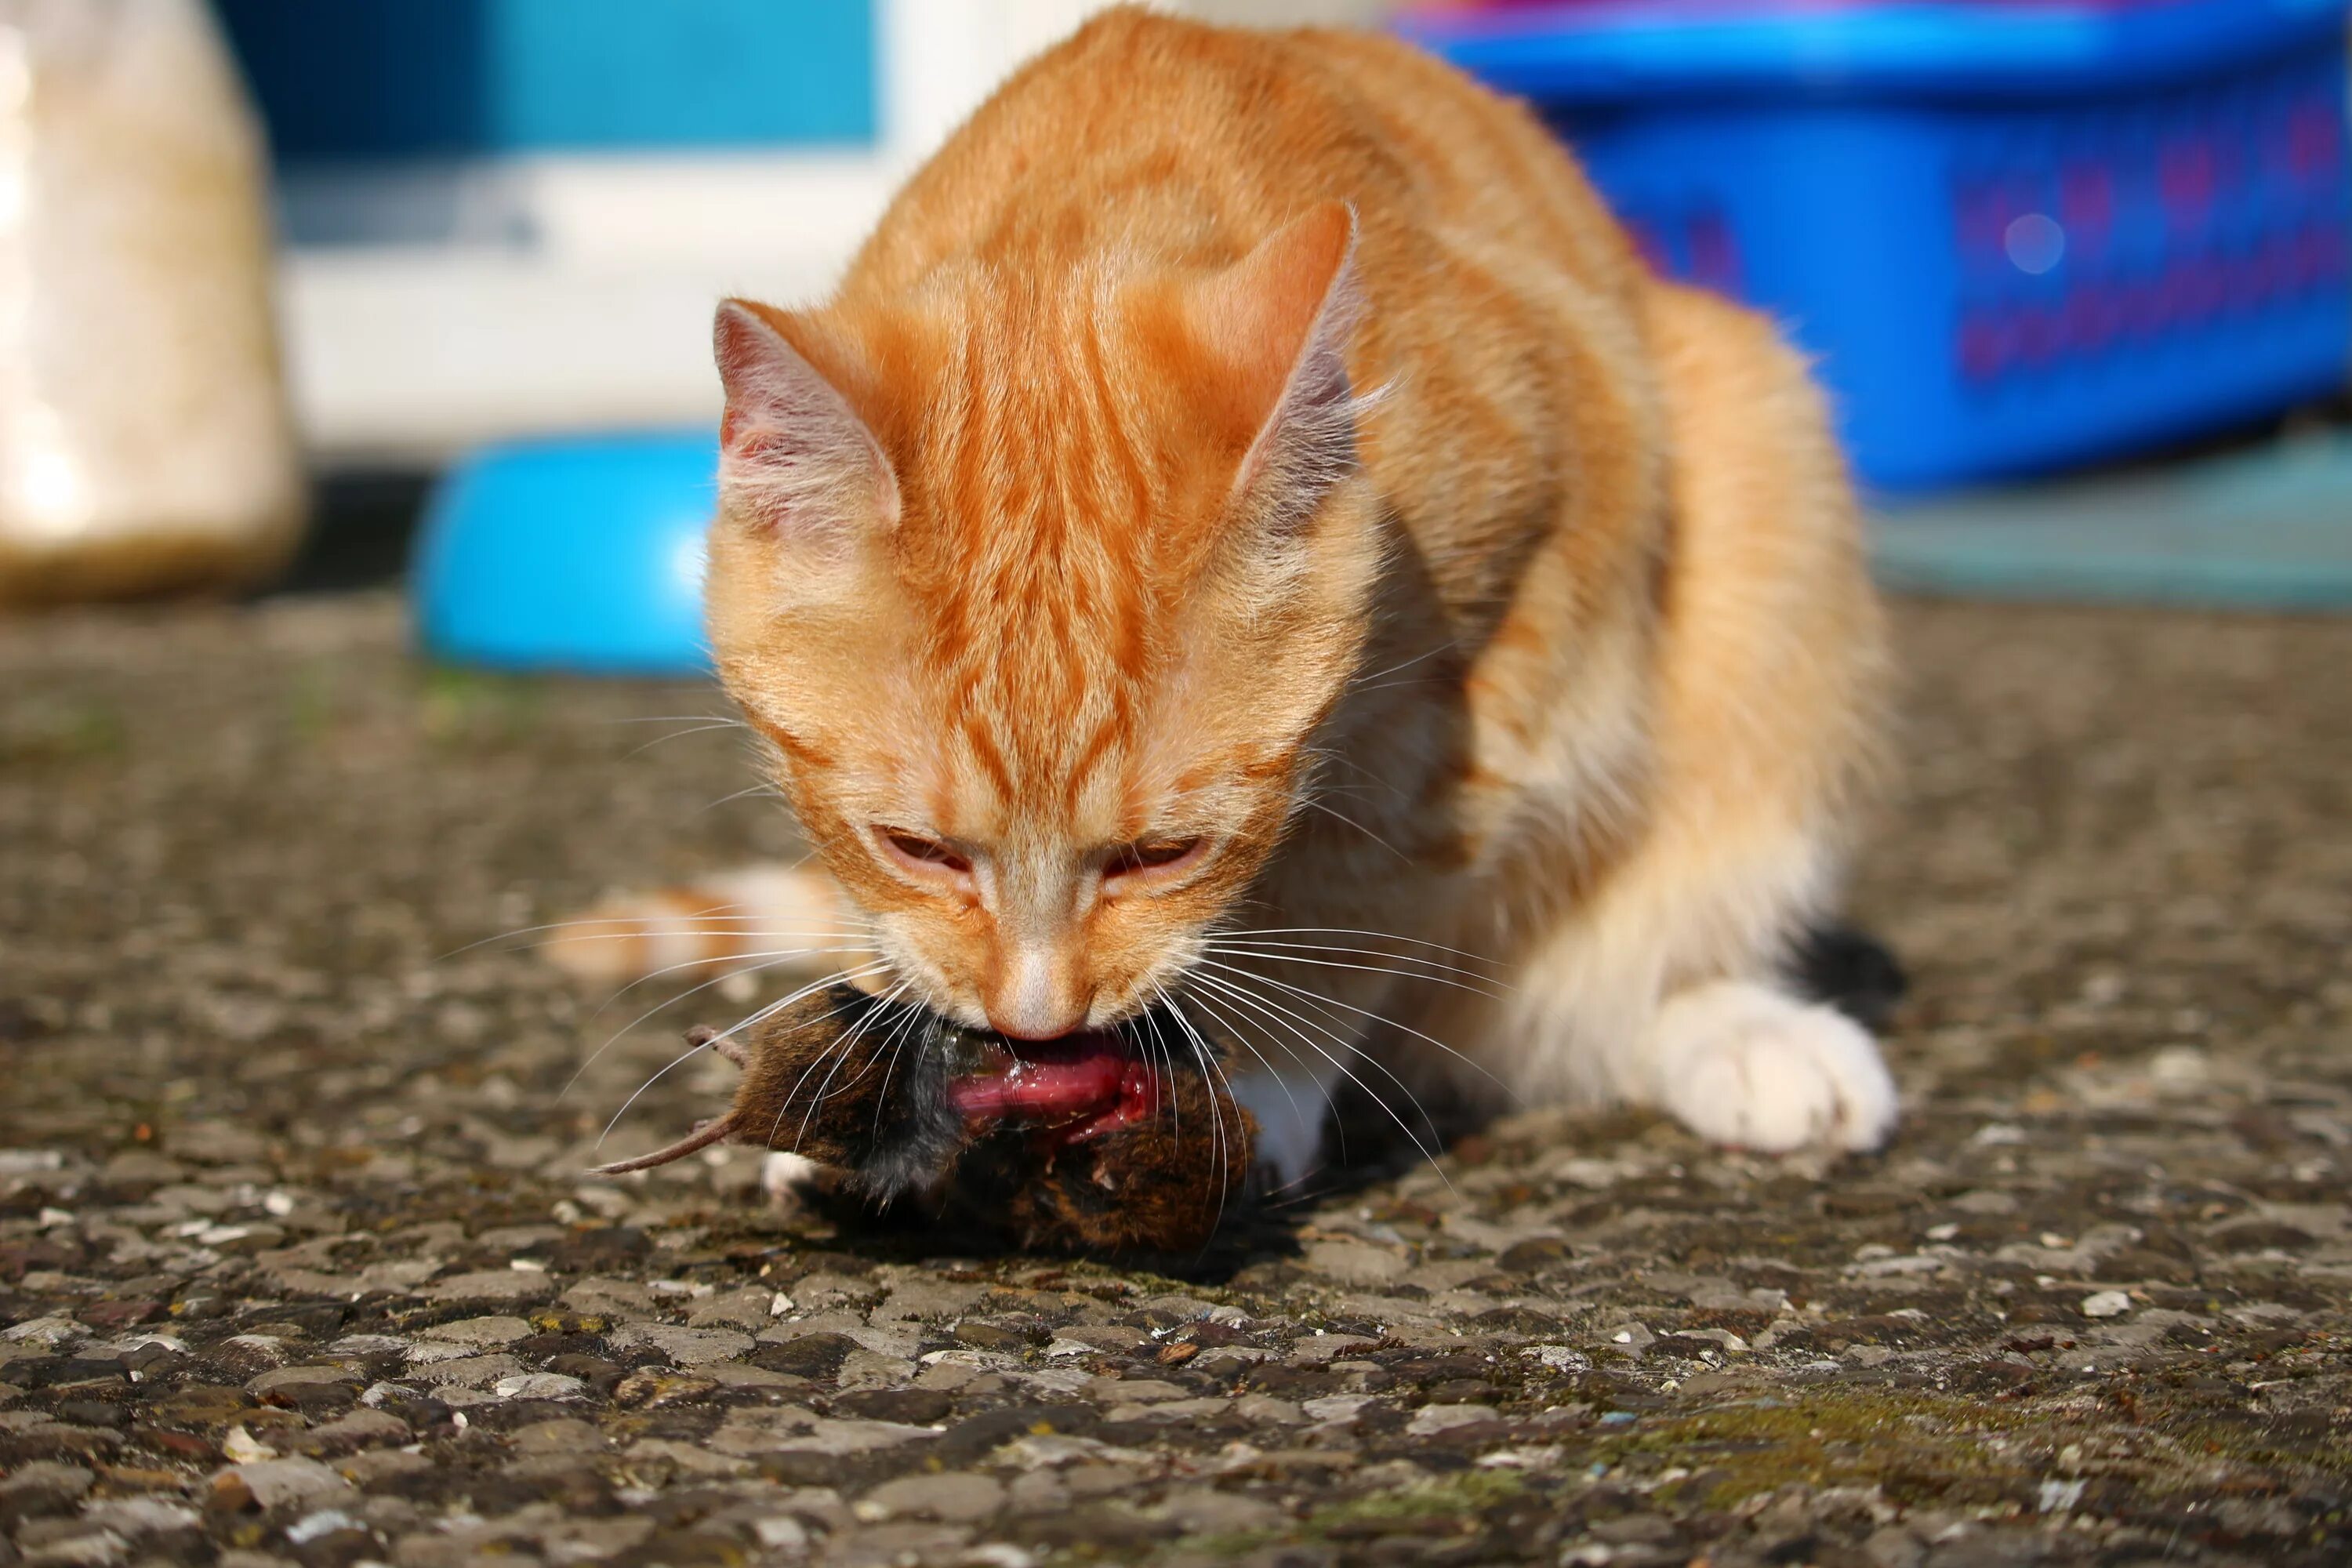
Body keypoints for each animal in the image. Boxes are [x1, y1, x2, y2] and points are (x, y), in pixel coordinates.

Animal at [560, 9, 1900, 1189]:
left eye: (1163, 855)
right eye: (917, 848)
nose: (1036, 1023)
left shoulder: (1488, 679)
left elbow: (1345, 906)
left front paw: (1248, 1084)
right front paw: (872, 1083)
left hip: (1766, 463)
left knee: (1613, 982)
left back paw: (1748, 1037)